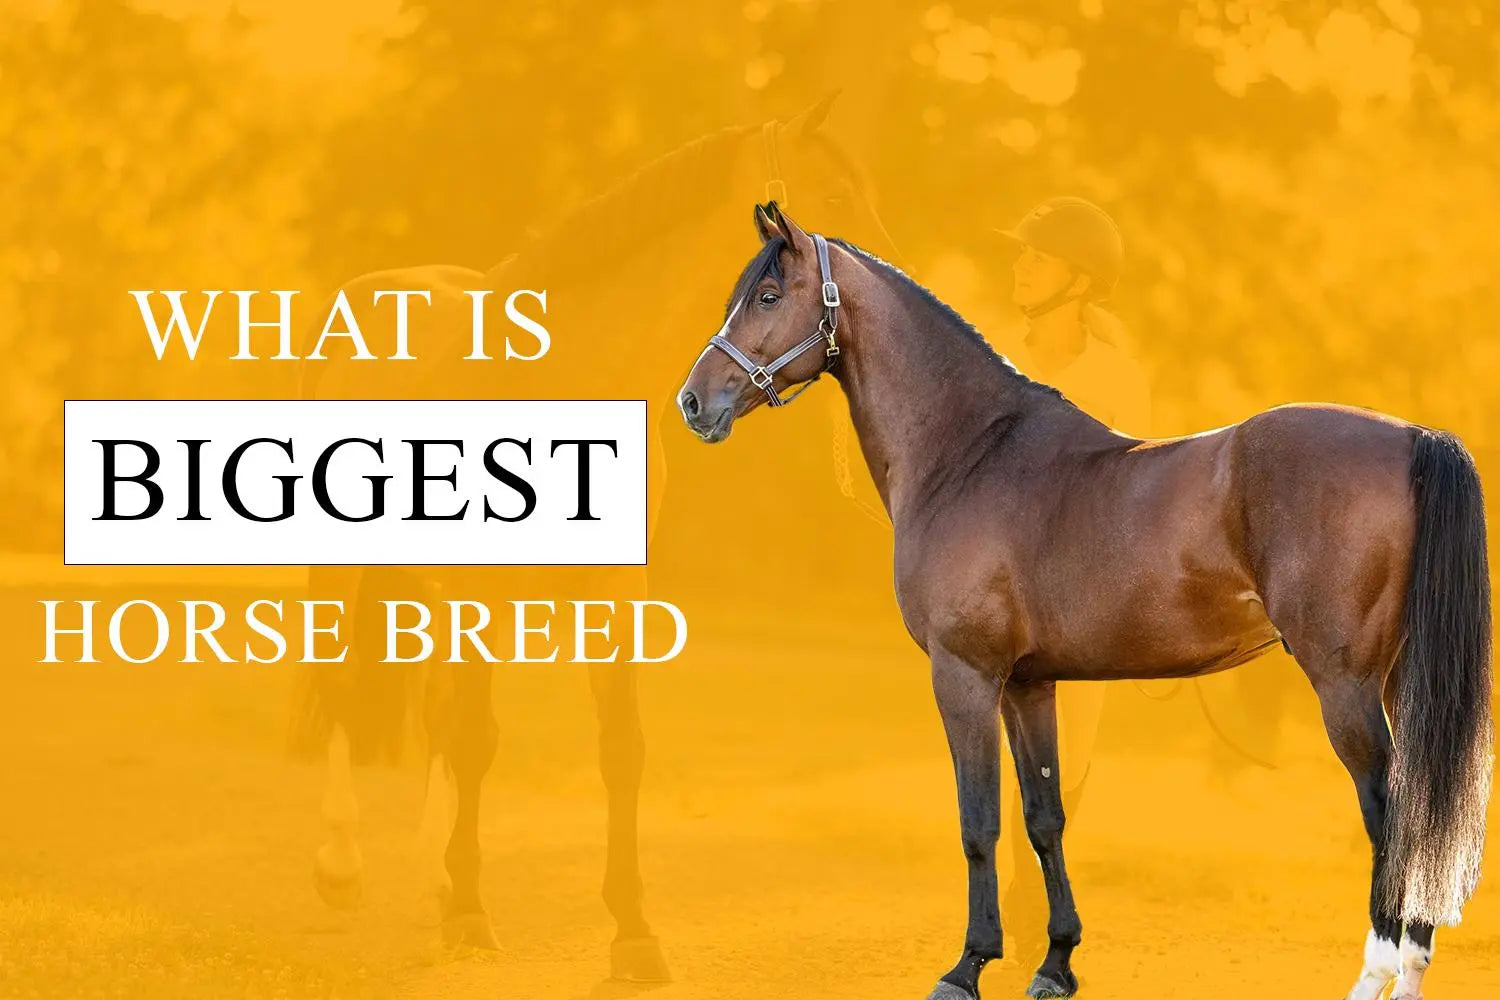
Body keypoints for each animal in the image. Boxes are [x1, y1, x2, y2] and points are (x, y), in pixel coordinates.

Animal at [288, 102, 900, 981]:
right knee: (343, 690)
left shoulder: (613, 594)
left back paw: (431, 874)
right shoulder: (481, 590)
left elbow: (620, 750)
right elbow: (475, 741)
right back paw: (342, 866)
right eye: (834, 193)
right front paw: (471, 913)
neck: (568, 378)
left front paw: (632, 932)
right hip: (349, 569)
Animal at [676, 203, 1492, 1000]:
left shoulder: (964, 676)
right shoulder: (1029, 686)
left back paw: (1379, 972)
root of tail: (1414, 437)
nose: (693, 401)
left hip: (1344, 683)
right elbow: (1044, 817)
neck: (968, 454)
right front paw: (1055, 963)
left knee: (1390, 813)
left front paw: (967, 967)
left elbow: (978, 822)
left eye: (769, 295)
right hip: (1398, 678)